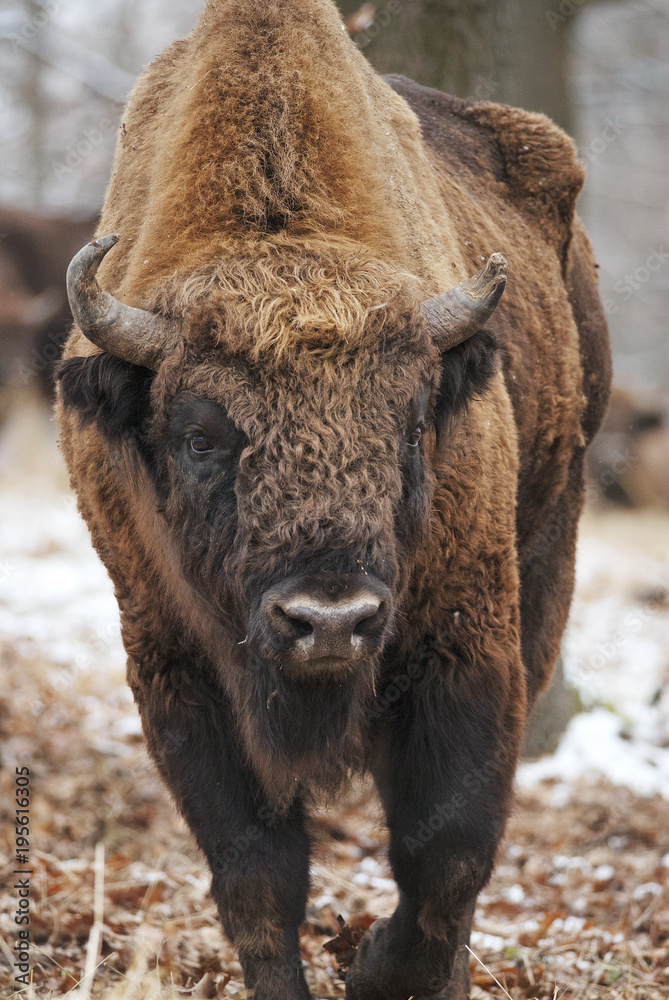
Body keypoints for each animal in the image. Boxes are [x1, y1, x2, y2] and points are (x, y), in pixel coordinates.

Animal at [56, 1, 611, 998]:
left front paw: (378, 969)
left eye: (410, 426)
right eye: (200, 437)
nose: (329, 620)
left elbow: (445, 851)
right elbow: (254, 872)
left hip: (553, 538)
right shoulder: (177, 670)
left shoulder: (467, 646)